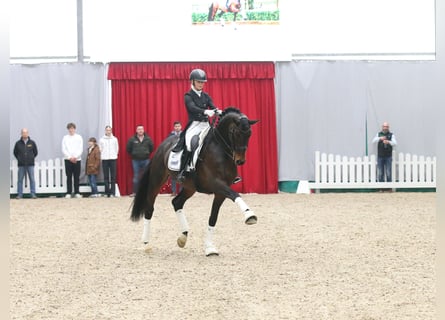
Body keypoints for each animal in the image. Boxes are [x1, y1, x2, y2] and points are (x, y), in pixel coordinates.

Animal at [130, 107, 258, 255]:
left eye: (249, 134)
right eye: (236, 133)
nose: (240, 161)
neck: (220, 148)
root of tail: (163, 145)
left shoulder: (220, 192)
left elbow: (213, 217)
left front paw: (209, 248)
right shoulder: (216, 184)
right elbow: (235, 194)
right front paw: (249, 215)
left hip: (190, 187)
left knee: (177, 202)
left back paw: (183, 237)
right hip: (157, 181)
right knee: (149, 208)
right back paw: (146, 244)